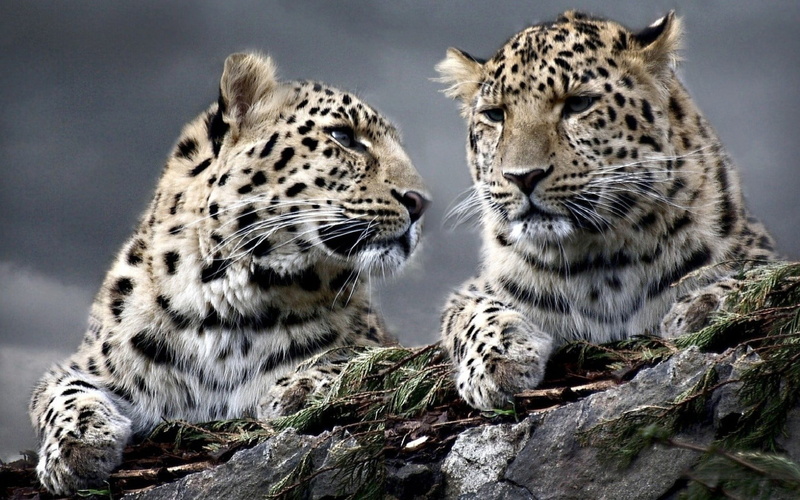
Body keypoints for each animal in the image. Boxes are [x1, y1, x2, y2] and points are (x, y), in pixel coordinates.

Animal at [28, 52, 429, 495]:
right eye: (344, 136)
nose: (421, 202)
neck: (224, 304)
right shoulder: (82, 367)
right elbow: (64, 392)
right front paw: (76, 447)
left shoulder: (386, 347)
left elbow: (362, 356)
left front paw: (302, 386)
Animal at [436, 11, 776, 410]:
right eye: (494, 115)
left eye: (578, 105)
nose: (522, 176)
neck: (599, 261)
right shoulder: (473, 290)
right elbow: (471, 315)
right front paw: (497, 359)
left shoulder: (757, 252)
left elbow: (755, 275)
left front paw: (703, 305)